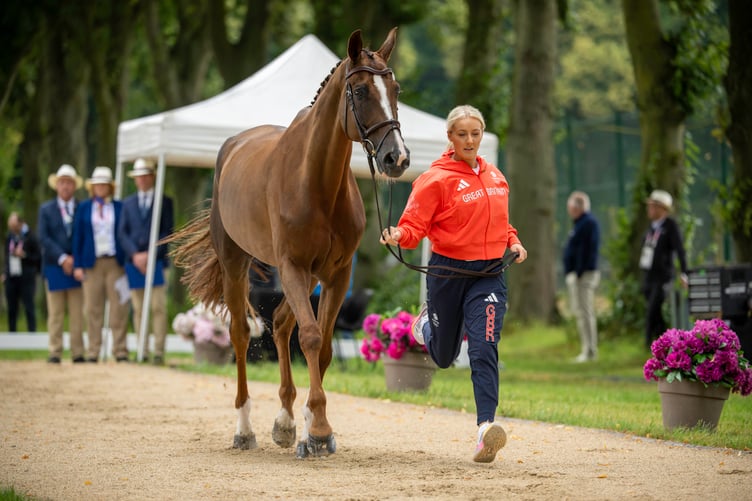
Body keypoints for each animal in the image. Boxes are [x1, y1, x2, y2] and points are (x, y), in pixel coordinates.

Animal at [169, 28, 410, 458]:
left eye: (395, 88)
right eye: (360, 91)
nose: (396, 158)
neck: (315, 182)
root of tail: (232, 146)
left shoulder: (335, 274)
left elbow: (324, 345)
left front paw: (312, 426)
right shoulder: (294, 267)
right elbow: (310, 337)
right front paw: (317, 431)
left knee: (281, 324)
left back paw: (284, 421)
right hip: (237, 265)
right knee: (241, 334)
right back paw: (244, 428)